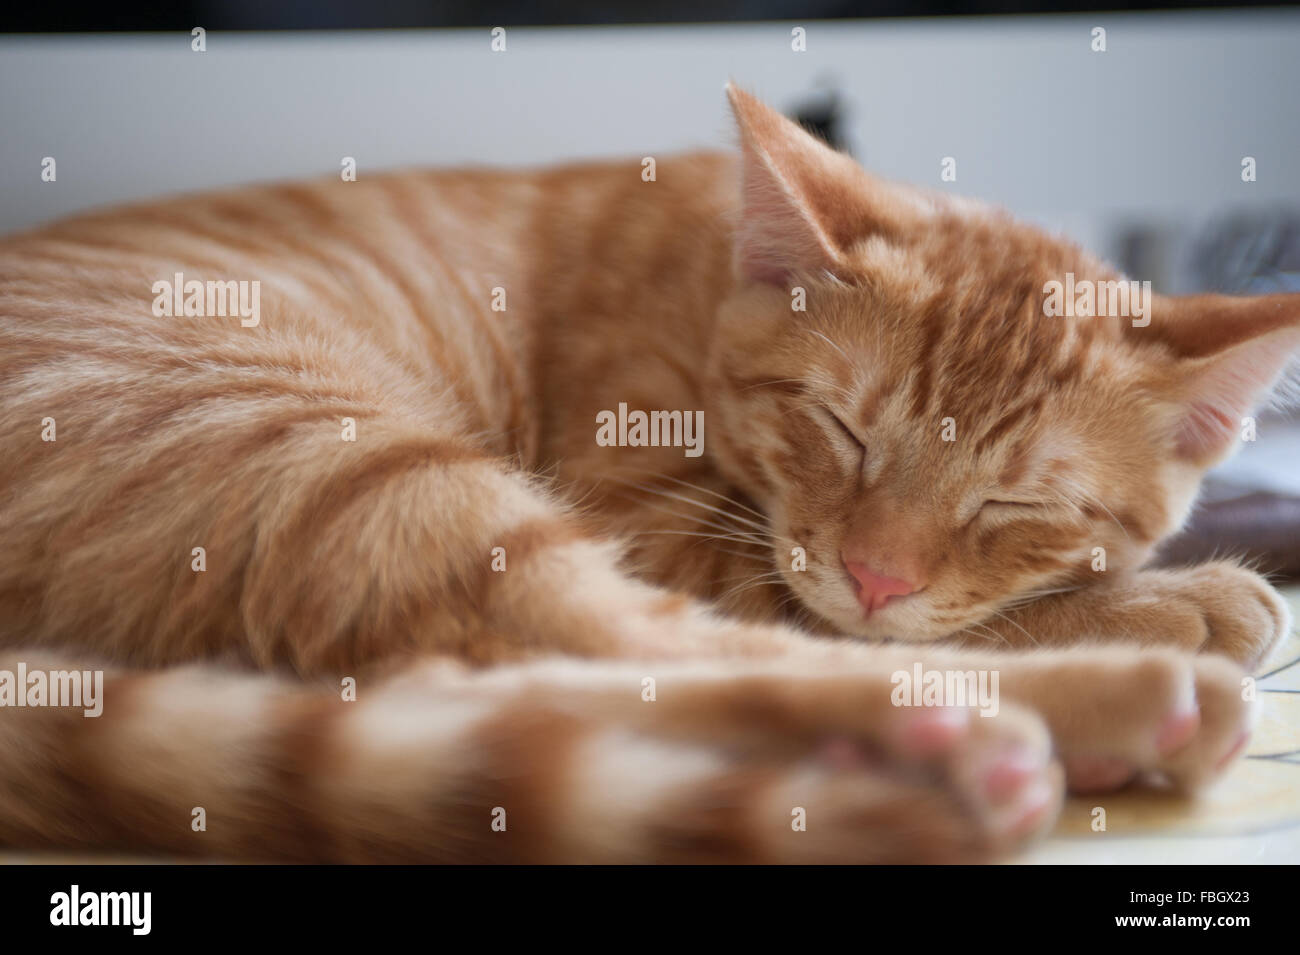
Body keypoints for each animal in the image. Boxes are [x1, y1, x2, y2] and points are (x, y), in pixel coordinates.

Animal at [0, 91, 1294, 867]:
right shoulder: (660, 519)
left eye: (1013, 501)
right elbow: (830, 612)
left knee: (449, 684)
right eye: (842, 429)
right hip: (342, 452)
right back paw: (1062, 716)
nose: (877, 576)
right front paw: (1174, 602)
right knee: (579, 648)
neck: (707, 272)